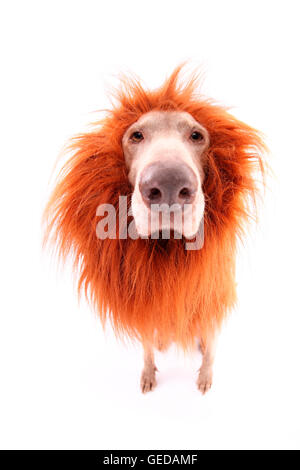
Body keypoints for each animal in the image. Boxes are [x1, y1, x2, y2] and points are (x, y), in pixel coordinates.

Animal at [44, 65, 264, 392]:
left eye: (197, 135)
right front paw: (148, 373)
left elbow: (211, 347)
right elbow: (147, 344)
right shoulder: (144, 302)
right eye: (136, 135)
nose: (169, 184)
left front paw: (205, 376)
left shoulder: (212, 299)